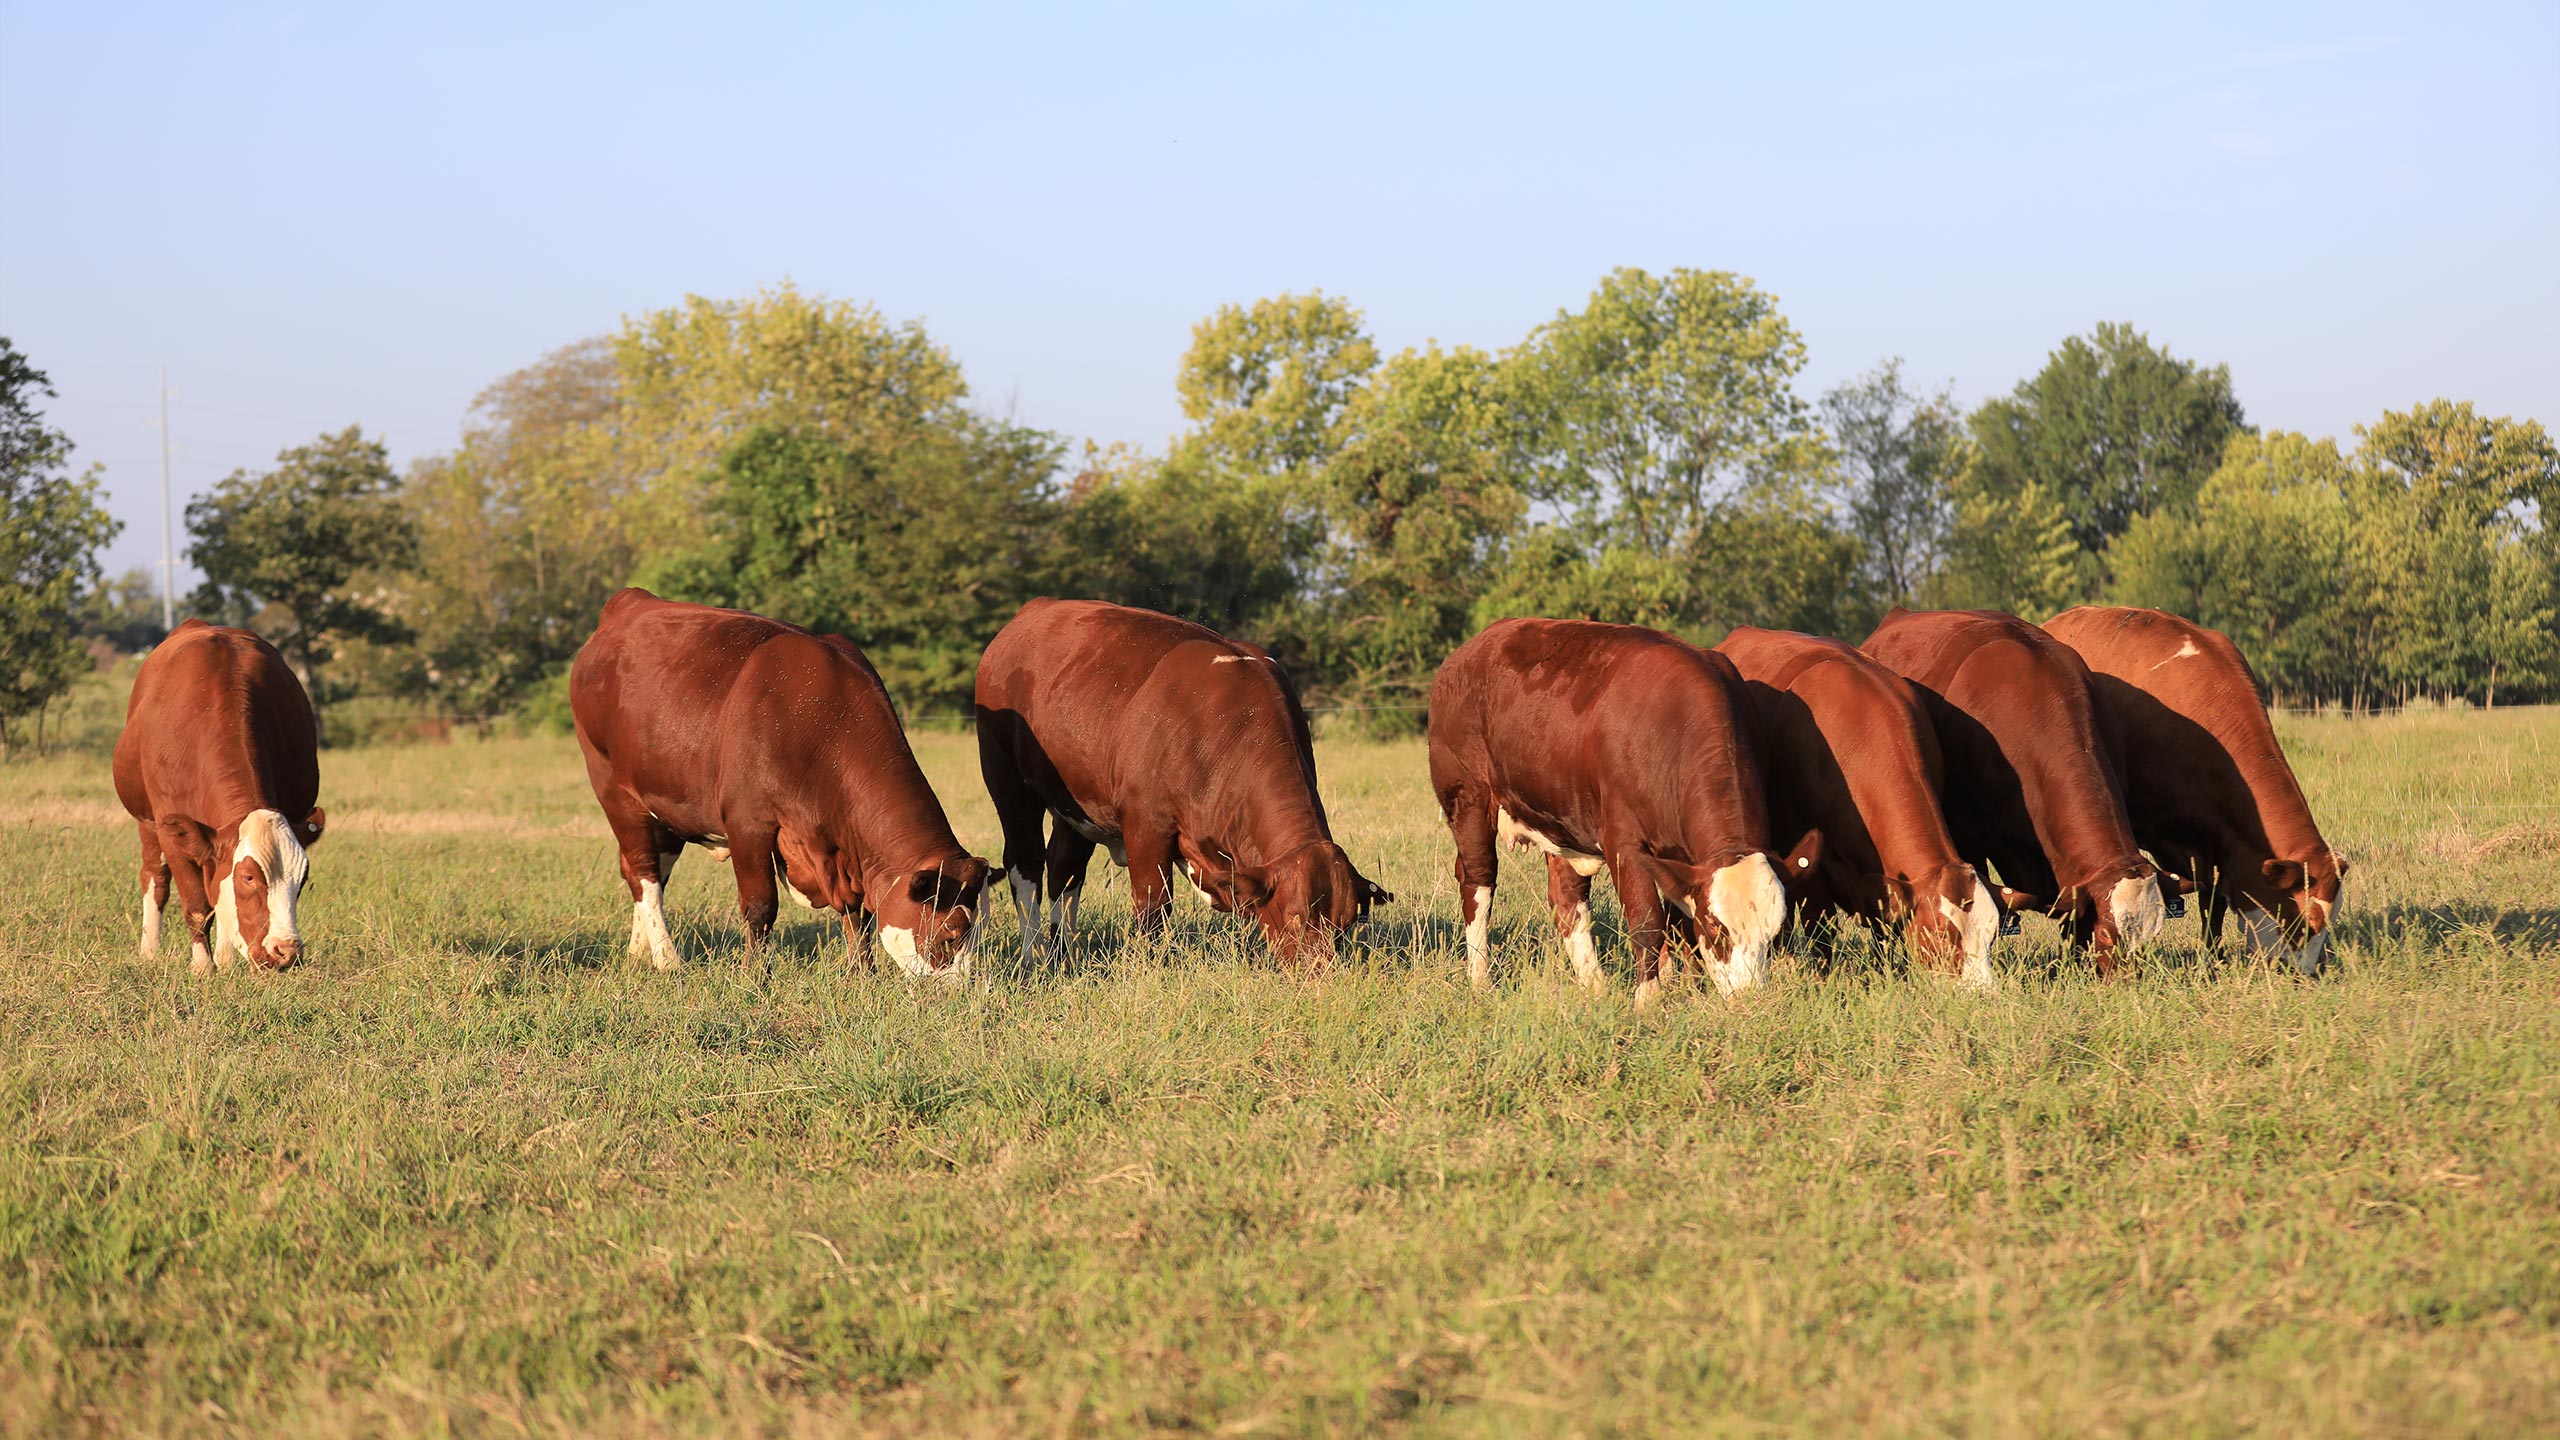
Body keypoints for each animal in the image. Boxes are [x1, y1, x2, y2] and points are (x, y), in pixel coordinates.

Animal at [113, 620, 327, 974]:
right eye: (249, 876)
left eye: (302, 878)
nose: (286, 951)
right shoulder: (172, 831)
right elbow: (197, 905)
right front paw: (202, 966)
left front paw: (224, 962)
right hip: (146, 822)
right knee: (155, 878)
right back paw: (150, 951)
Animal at [570, 588, 990, 976]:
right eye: (950, 934)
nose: (961, 988)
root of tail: (632, 601)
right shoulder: (748, 823)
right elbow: (760, 906)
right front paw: (755, 974)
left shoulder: (847, 852)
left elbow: (859, 914)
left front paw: (862, 972)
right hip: (614, 790)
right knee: (644, 873)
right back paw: (667, 958)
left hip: (666, 803)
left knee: (648, 870)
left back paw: (639, 951)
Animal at [974, 598, 1388, 967]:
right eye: (1294, 917)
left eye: (1346, 924)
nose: (1319, 975)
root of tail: (1034, 610)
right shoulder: (1146, 828)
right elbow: (1153, 908)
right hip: (1008, 783)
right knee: (1026, 864)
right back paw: (1032, 956)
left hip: (1076, 805)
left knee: (1065, 869)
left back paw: (1063, 954)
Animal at [1427, 618, 1822, 1006]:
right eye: (1715, 927)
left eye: (1774, 933)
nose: (1750, 999)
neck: (1677, 725)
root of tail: (1471, 649)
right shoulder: (1624, 844)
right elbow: (1648, 921)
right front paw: (1649, 1000)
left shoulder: (1682, 861)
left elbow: (1679, 926)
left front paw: (1690, 990)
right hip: (1469, 800)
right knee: (1478, 881)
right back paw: (1480, 979)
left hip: (1560, 820)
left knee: (1566, 900)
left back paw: (1594, 987)